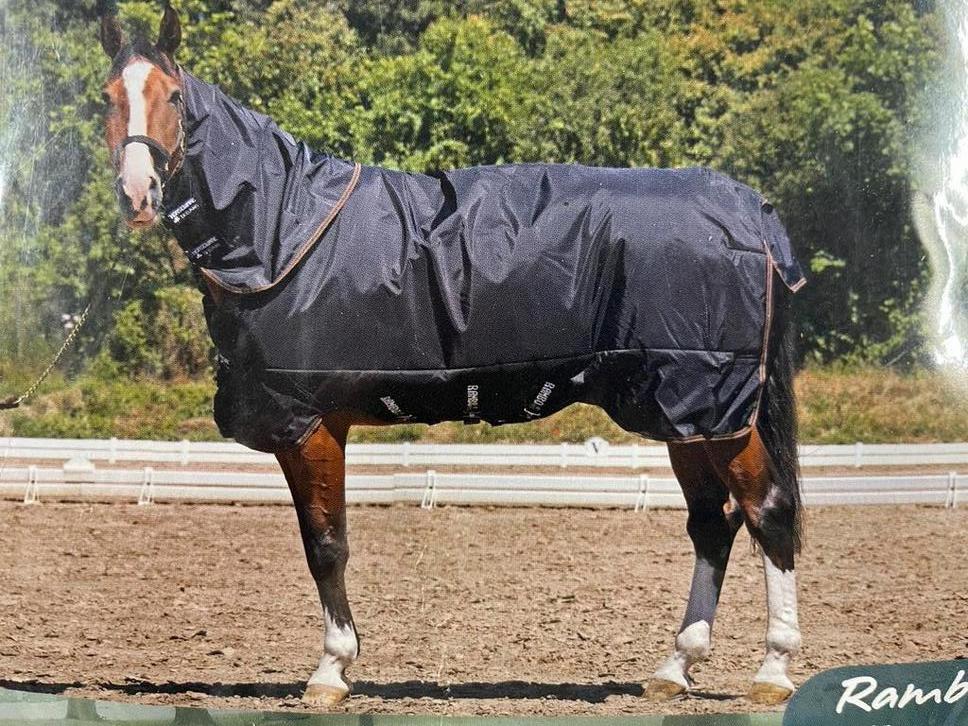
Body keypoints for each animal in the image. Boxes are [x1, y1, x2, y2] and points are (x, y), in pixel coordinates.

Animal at [98, 5, 805, 708]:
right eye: (107, 97)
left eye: (173, 96)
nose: (137, 192)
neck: (283, 230)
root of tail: (751, 213)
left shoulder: (310, 425)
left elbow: (325, 543)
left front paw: (331, 669)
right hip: (686, 412)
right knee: (712, 524)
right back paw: (675, 667)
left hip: (712, 404)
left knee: (766, 510)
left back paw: (772, 669)